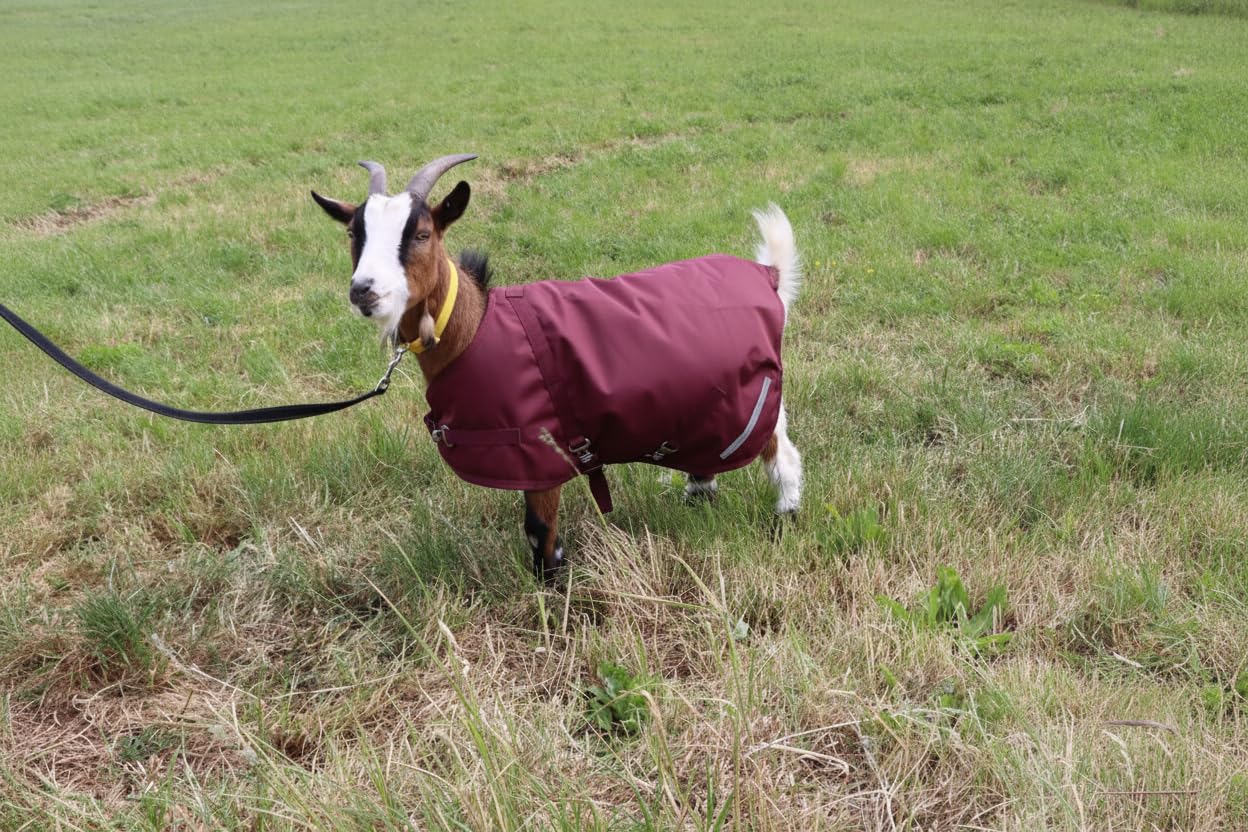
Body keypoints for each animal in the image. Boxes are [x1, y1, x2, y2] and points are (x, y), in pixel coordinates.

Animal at [312, 155, 803, 580]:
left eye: (421, 234)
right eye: (354, 233)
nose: (364, 290)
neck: (476, 326)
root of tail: (769, 277)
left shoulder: (539, 450)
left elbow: (540, 531)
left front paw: (552, 589)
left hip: (756, 398)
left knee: (782, 455)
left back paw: (787, 517)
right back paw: (698, 499)